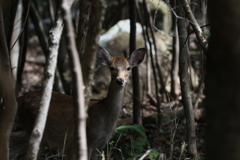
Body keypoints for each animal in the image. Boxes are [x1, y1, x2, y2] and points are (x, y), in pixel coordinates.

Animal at [16, 46, 145, 159]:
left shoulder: (101, 144)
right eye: (112, 68)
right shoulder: (88, 139)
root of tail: (20, 99)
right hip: (33, 128)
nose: (120, 80)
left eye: (128, 68)